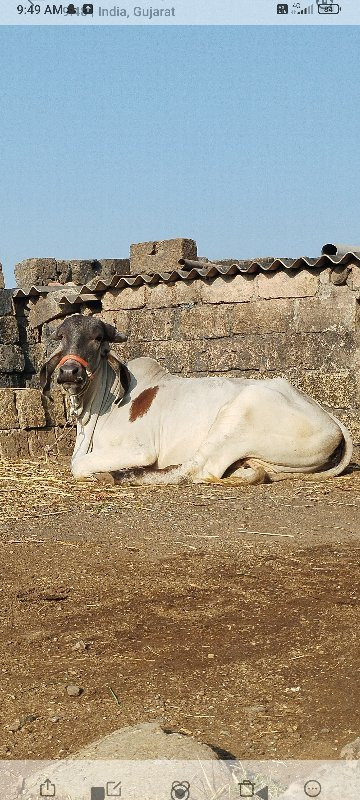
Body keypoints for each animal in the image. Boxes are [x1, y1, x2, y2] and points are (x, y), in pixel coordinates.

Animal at [40, 314, 352, 484]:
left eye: (97, 338)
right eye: (61, 336)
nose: (69, 371)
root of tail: (330, 419)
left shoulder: (139, 448)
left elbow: (78, 466)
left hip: (237, 417)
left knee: (195, 468)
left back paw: (122, 476)